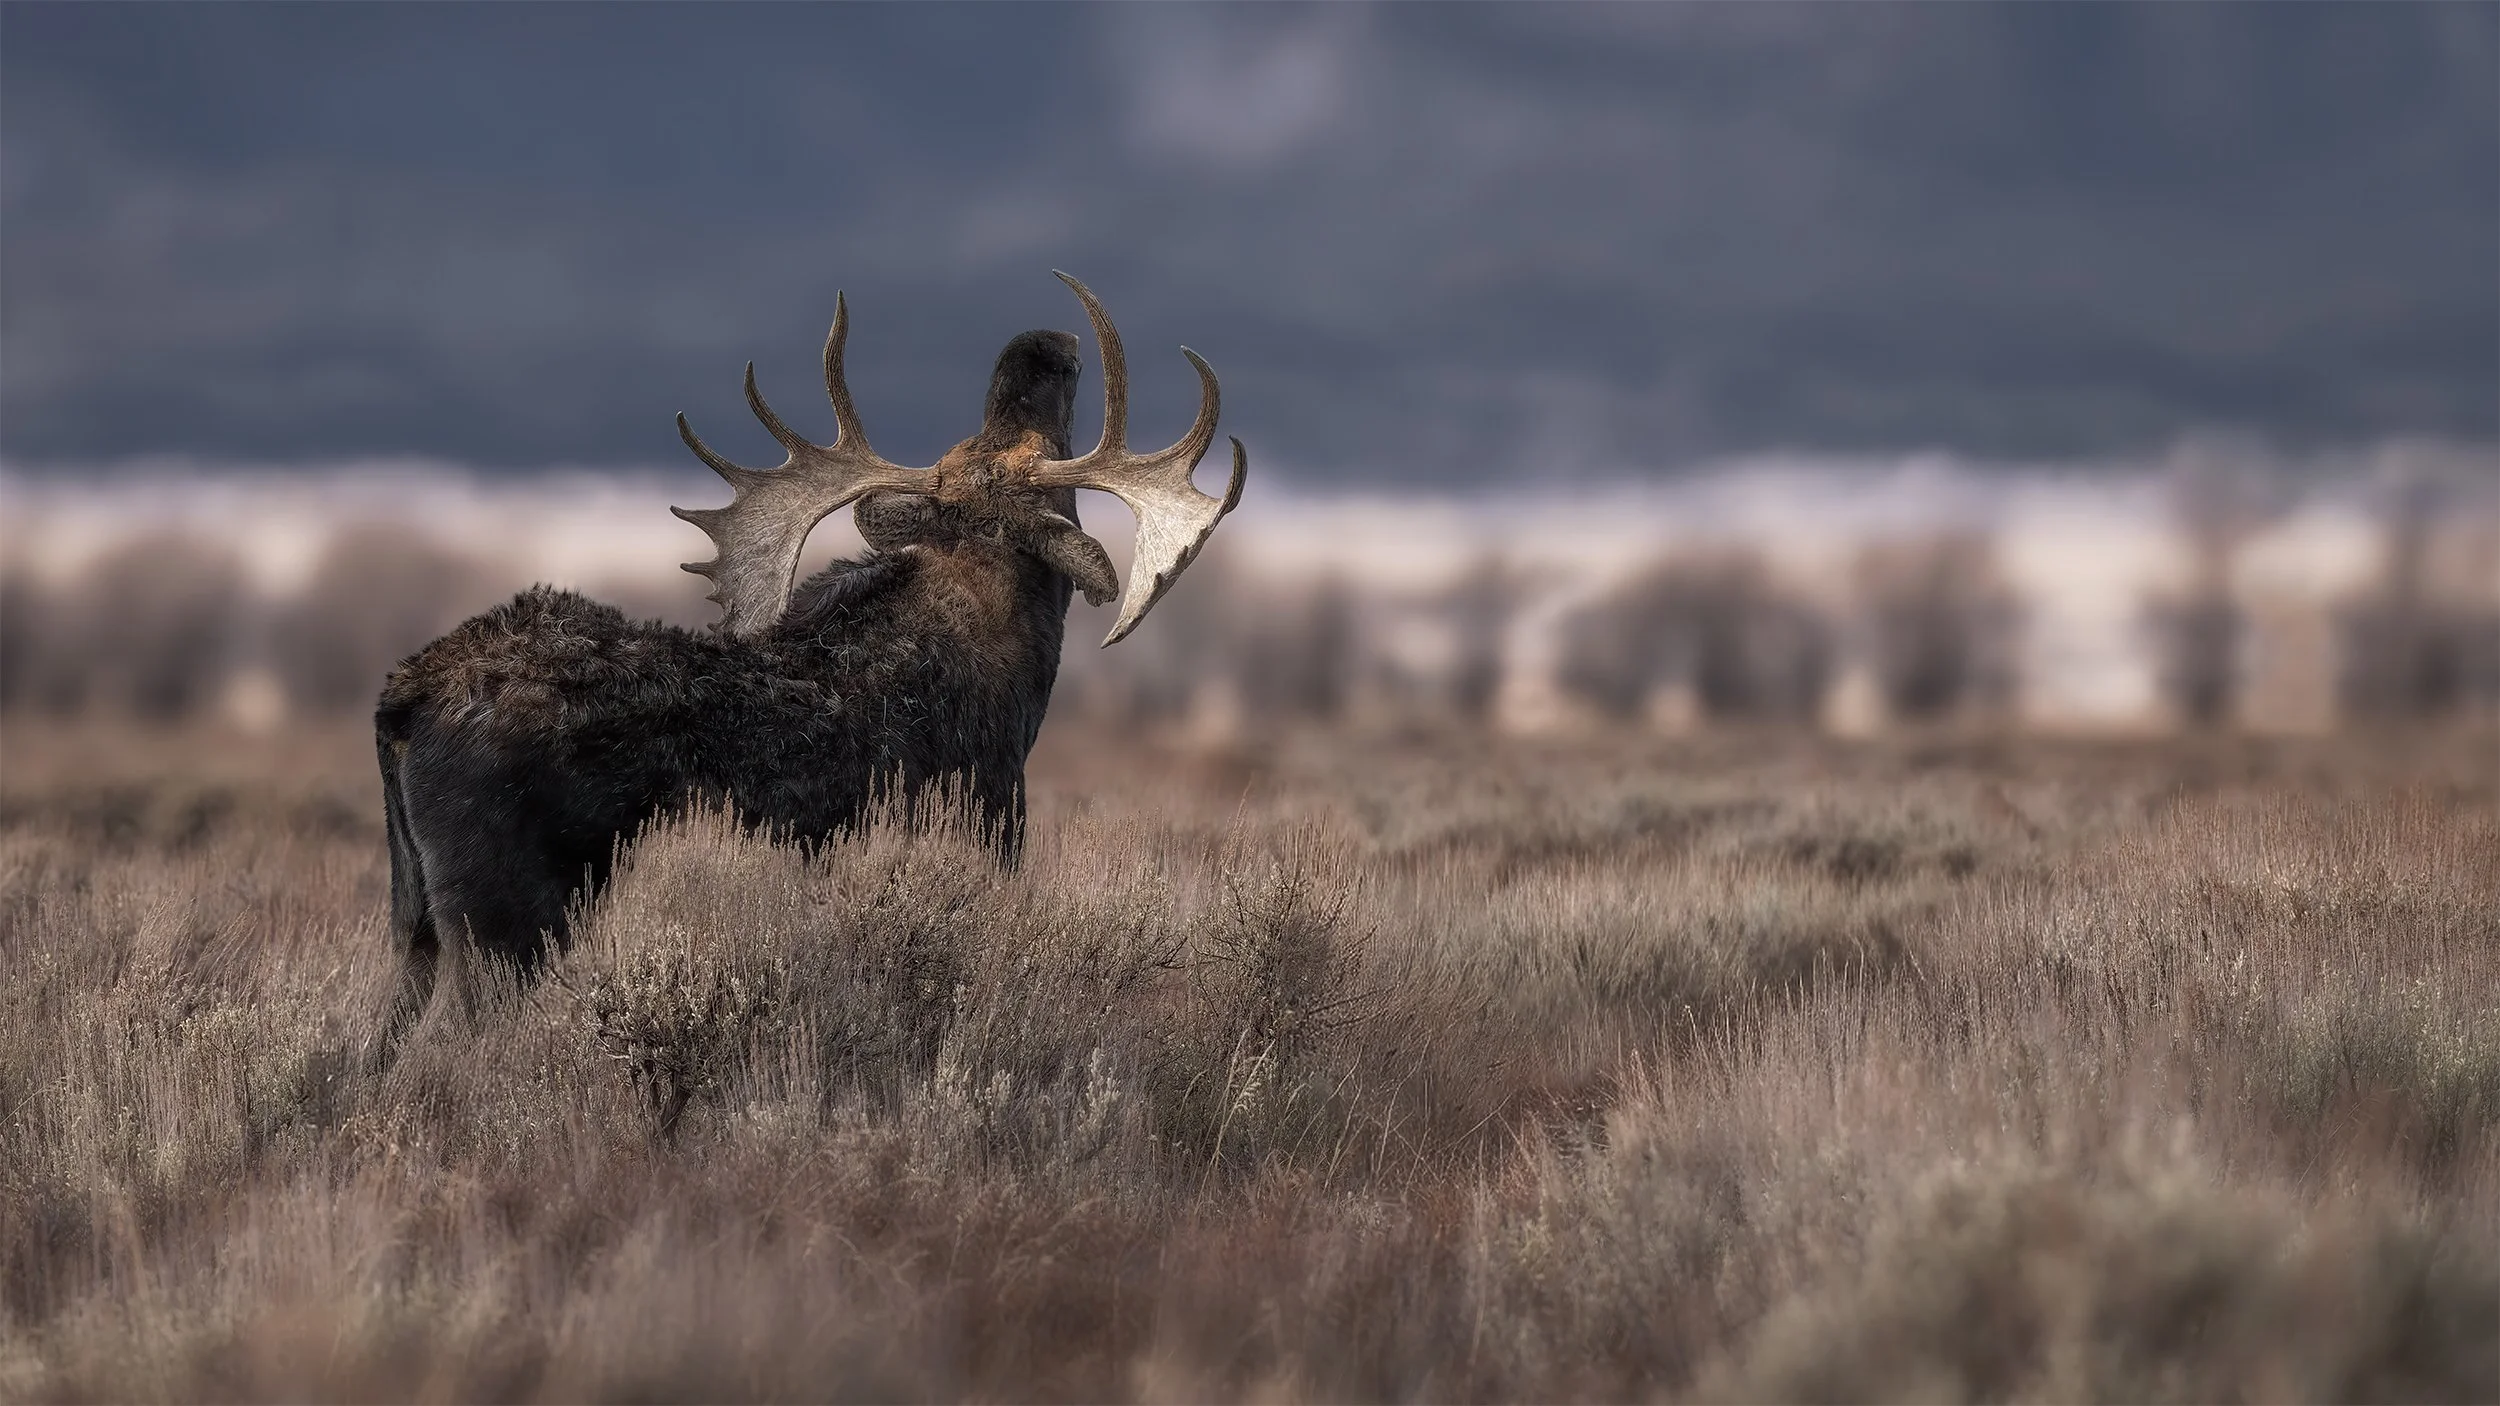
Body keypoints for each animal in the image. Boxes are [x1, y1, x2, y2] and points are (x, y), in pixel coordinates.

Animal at [372, 273, 1245, 1042]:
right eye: (1042, 465)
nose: (1044, 344)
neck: (1018, 662)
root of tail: (402, 700)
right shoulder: (990, 809)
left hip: (415, 923)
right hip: (507, 913)